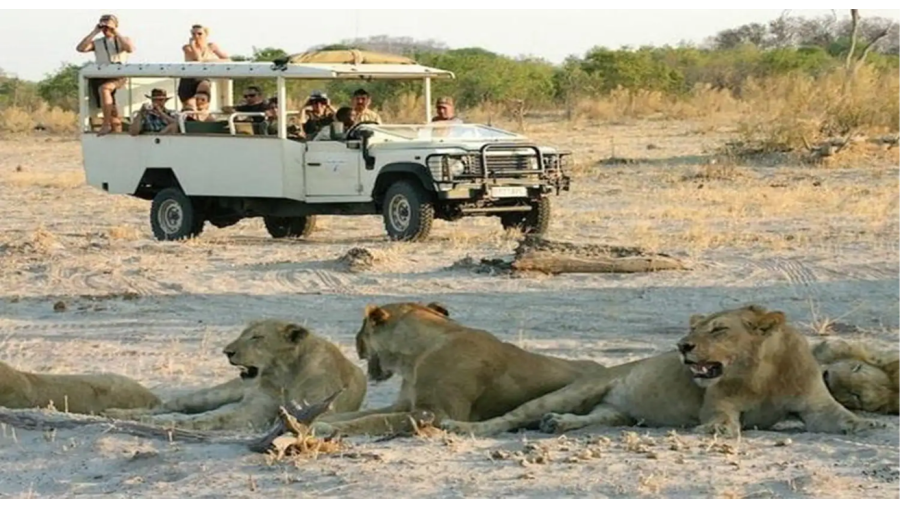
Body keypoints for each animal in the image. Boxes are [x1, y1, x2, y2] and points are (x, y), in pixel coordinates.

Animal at [104, 319, 367, 432]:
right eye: (242, 334)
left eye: (257, 337)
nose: (226, 351)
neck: (284, 375)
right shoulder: (255, 408)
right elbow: (210, 418)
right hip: (212, 394)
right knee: (167, 406)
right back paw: (118, 413)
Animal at [310, 301, 606, 437]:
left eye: (361, 332)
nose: (357, 343)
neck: (414, 357)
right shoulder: (403, 405)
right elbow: (360, 414)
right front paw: (318, 420)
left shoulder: (435, 413)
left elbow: (370, 420)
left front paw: (322, 427)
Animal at [441, 305, 886, 438]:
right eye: (694, 328)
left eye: (718, 329)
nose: (682, 346)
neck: (763, 372)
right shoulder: (717, 403)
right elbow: (723, 418)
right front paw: (718, 431)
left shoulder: (815, 405)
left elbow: (840, 417)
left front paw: (864, 424)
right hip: (576, 389)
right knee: (510, 417)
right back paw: (460, 427)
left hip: (615, 413)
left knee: (596, 416)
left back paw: (557, 424)